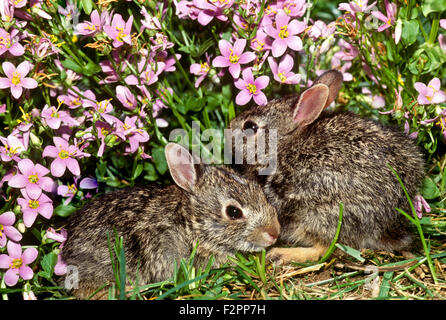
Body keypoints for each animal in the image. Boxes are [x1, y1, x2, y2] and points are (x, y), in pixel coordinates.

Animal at [230, 70, 426, 264]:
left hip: (319, 215)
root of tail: (388, 223)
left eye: (250, 126)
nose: (230, 127)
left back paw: (282, 254)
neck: (282, 146)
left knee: (325, 248)